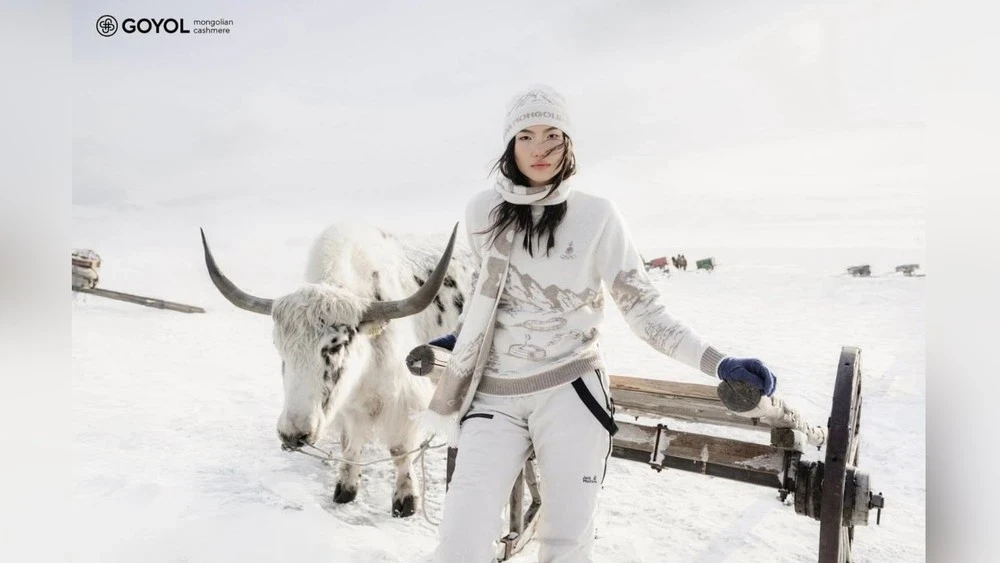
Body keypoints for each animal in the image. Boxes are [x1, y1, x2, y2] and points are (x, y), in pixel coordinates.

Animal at [200, 222, 475, 517]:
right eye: (279, 347)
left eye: (336, 345)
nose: (293, 435)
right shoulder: (349, 407)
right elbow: (351, 445)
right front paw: (345, 489)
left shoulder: (406, 400)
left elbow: (399, 450)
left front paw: (405, 502)